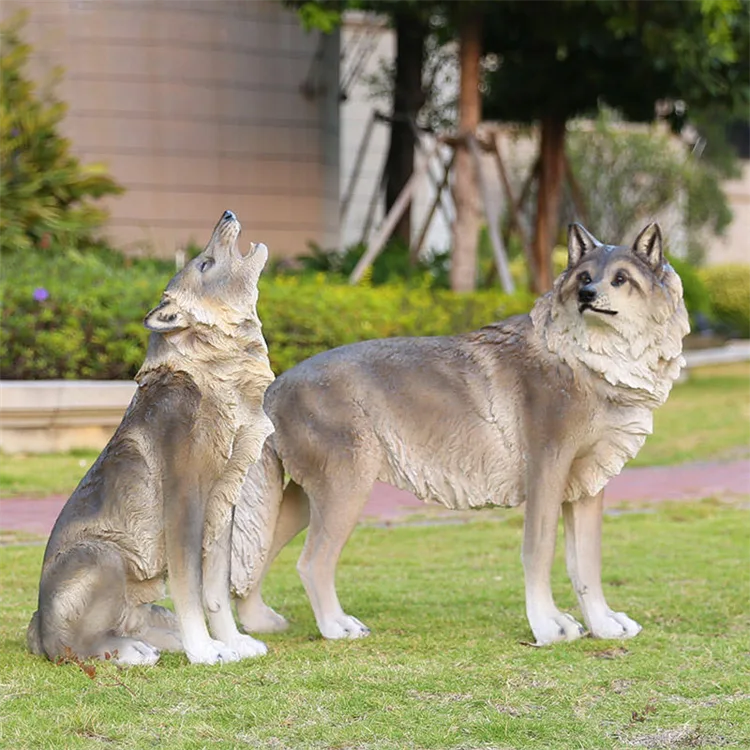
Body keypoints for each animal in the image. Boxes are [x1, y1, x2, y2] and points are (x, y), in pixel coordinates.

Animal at [27, 211, 275, 665]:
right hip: (103, 556)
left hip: (141, 602)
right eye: (205, 264)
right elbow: (190, 586)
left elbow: (216, 590)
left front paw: (232, 643)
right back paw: (130, 651)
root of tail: (34, 629)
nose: (227, 214)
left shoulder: (223, 504)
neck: (217, 381)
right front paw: (204, 651)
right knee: (70, 647)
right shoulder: (184, 502)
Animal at [229, 223, 689, 646]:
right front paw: (547, 626)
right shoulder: (547, 474)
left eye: (620, 279)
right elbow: (538, 551)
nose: (587, 296)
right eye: (584, 278)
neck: (582, 358)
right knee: (312, 562)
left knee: (258, 553)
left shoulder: (587, 487)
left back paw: (259, 623)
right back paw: (335, 627)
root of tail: (276, 384)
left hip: (310, 498)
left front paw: (603, 625)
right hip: (345, 490)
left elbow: (586, 563)